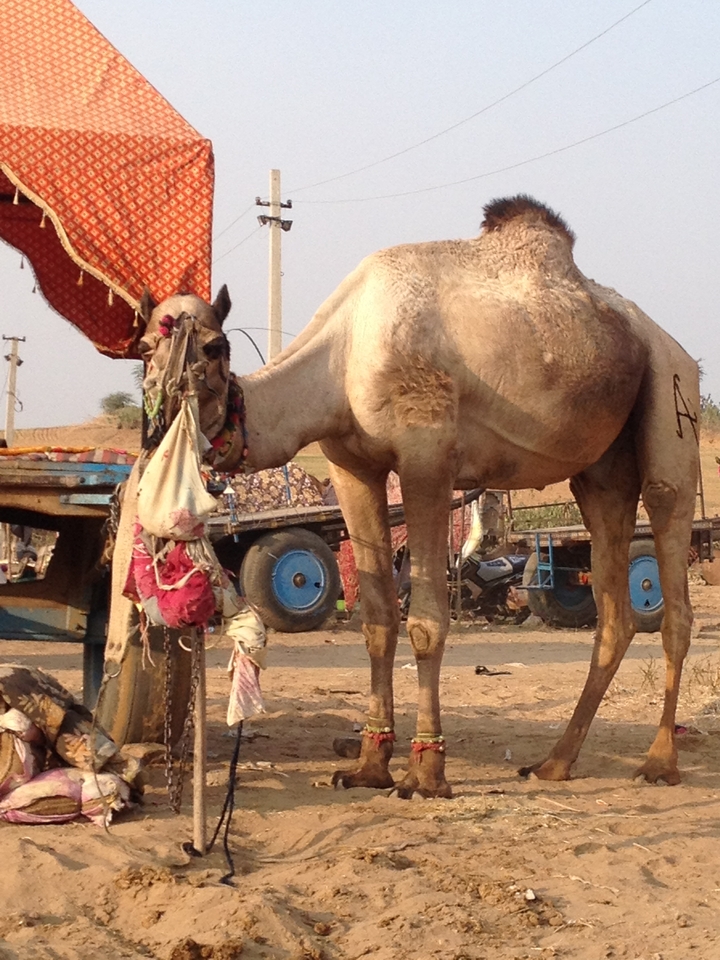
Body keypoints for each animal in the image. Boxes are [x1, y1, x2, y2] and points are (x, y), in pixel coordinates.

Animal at [136, 195, 700, 799]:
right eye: (142, 347)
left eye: (216, 346)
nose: (164, 412)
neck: (343, 354)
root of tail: (667, 342)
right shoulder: (352, 465)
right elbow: (378, 617)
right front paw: (367, 765)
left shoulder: (427, 454)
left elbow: (426, 620)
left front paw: (426, 772)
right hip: (599, 471)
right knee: (613, 608)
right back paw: (555, 762)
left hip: (672, 393)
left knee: (672, 565)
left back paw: (658, 761)